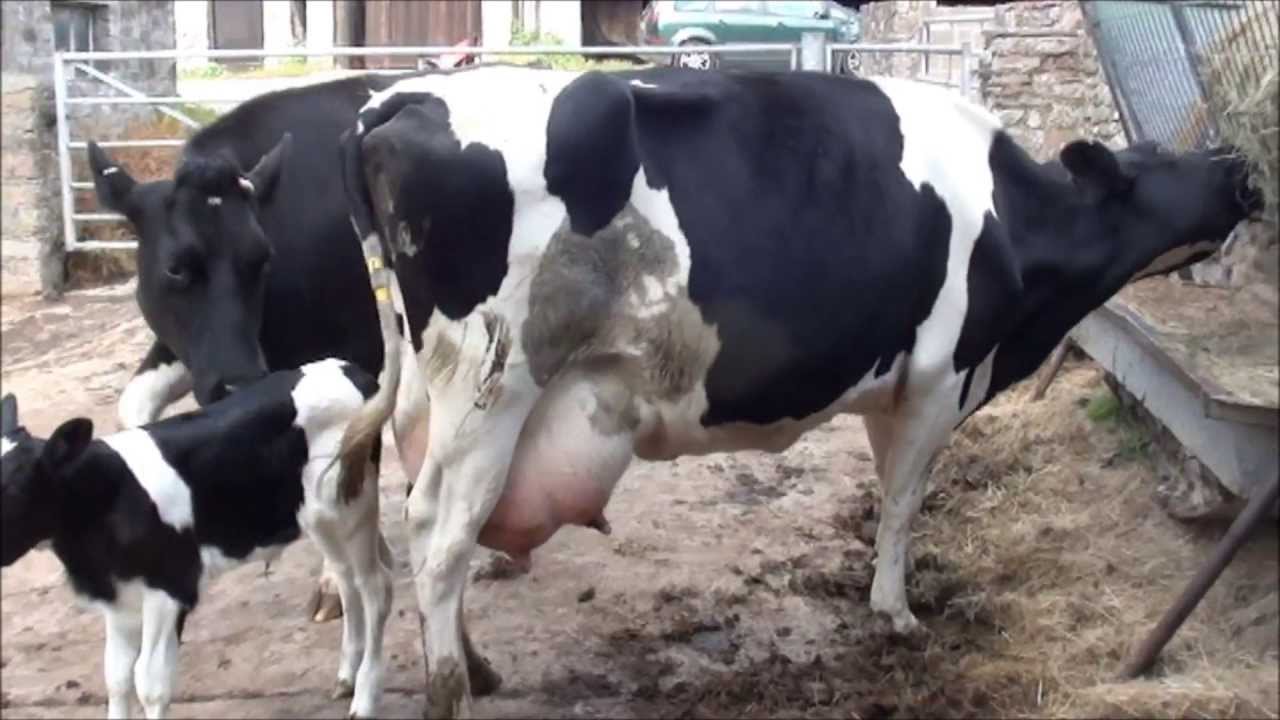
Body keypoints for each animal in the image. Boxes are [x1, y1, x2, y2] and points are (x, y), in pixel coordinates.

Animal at [0, 359, 391, 719]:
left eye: (16, 486)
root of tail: (350, 370)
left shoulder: (170, 585)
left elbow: (149, 682)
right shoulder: (120, 597)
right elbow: (116, 678)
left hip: (352, 507)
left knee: (375, 587)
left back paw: (364, 699)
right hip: (320, 517)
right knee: (346, 578)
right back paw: (346, 677)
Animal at [83, 72, 503, 694]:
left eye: (260, 259)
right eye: (177, 268)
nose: (236, 384)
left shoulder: (359, 352)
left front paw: (338, 582)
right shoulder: (190, 354)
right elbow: (135, 406)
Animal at [332, 64, 1262, 717]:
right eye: (1162, 161)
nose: (1243, 165)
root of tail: (401, 99)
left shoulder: (901, 383)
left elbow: (891, 496)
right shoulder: (941, 376)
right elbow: (902, 504)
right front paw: (895, 613)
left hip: (430, 395)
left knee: (426, 519)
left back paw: (475, 664)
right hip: (494, 387)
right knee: (440, 536)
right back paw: (452, 688)